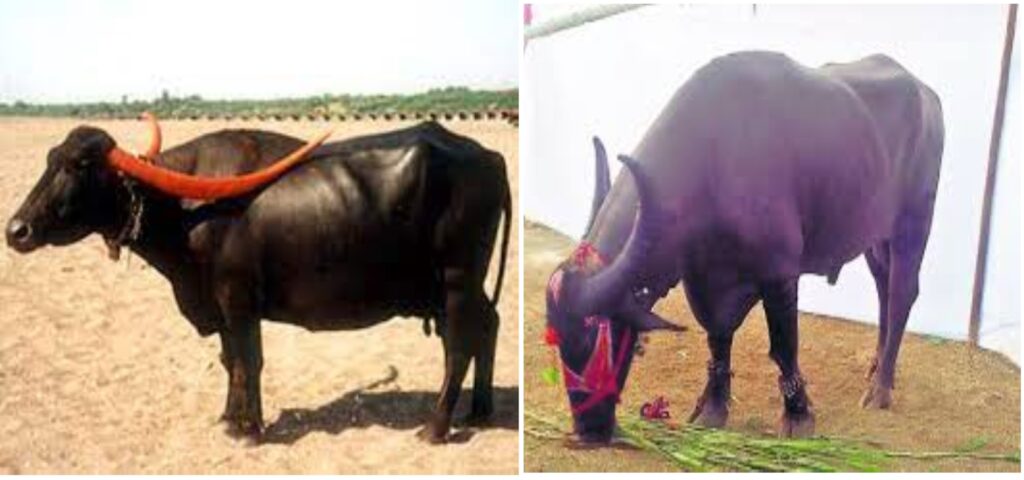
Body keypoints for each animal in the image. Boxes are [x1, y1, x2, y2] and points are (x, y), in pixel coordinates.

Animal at [6, 116, 511, 443]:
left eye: (79, 165)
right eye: (50, 159)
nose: (16, 230)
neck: (186, 209)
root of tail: (489, 156)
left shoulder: (239, 300)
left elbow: (249, 361)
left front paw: (251, 429)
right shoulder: (218, 306)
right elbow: (230, 360)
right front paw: (230, 421)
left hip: (457, 281)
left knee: (459, 346)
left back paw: (435, 428)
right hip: (458, 289)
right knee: (489, 326)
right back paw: (480, 412)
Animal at [545, 51, 943, 443]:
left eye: (592, 337)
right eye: (558, 338)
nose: (589, 429)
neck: (712, 158)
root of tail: (927, 95)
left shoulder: (779, 274)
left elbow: (783, 348)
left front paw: (798, 415)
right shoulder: (704, 280)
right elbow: (718, 340)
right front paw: (712, 407)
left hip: (914, 221)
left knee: (902, 293)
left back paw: (881, 388)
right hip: (876, 236)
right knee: (883, 290)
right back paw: (876, 365)